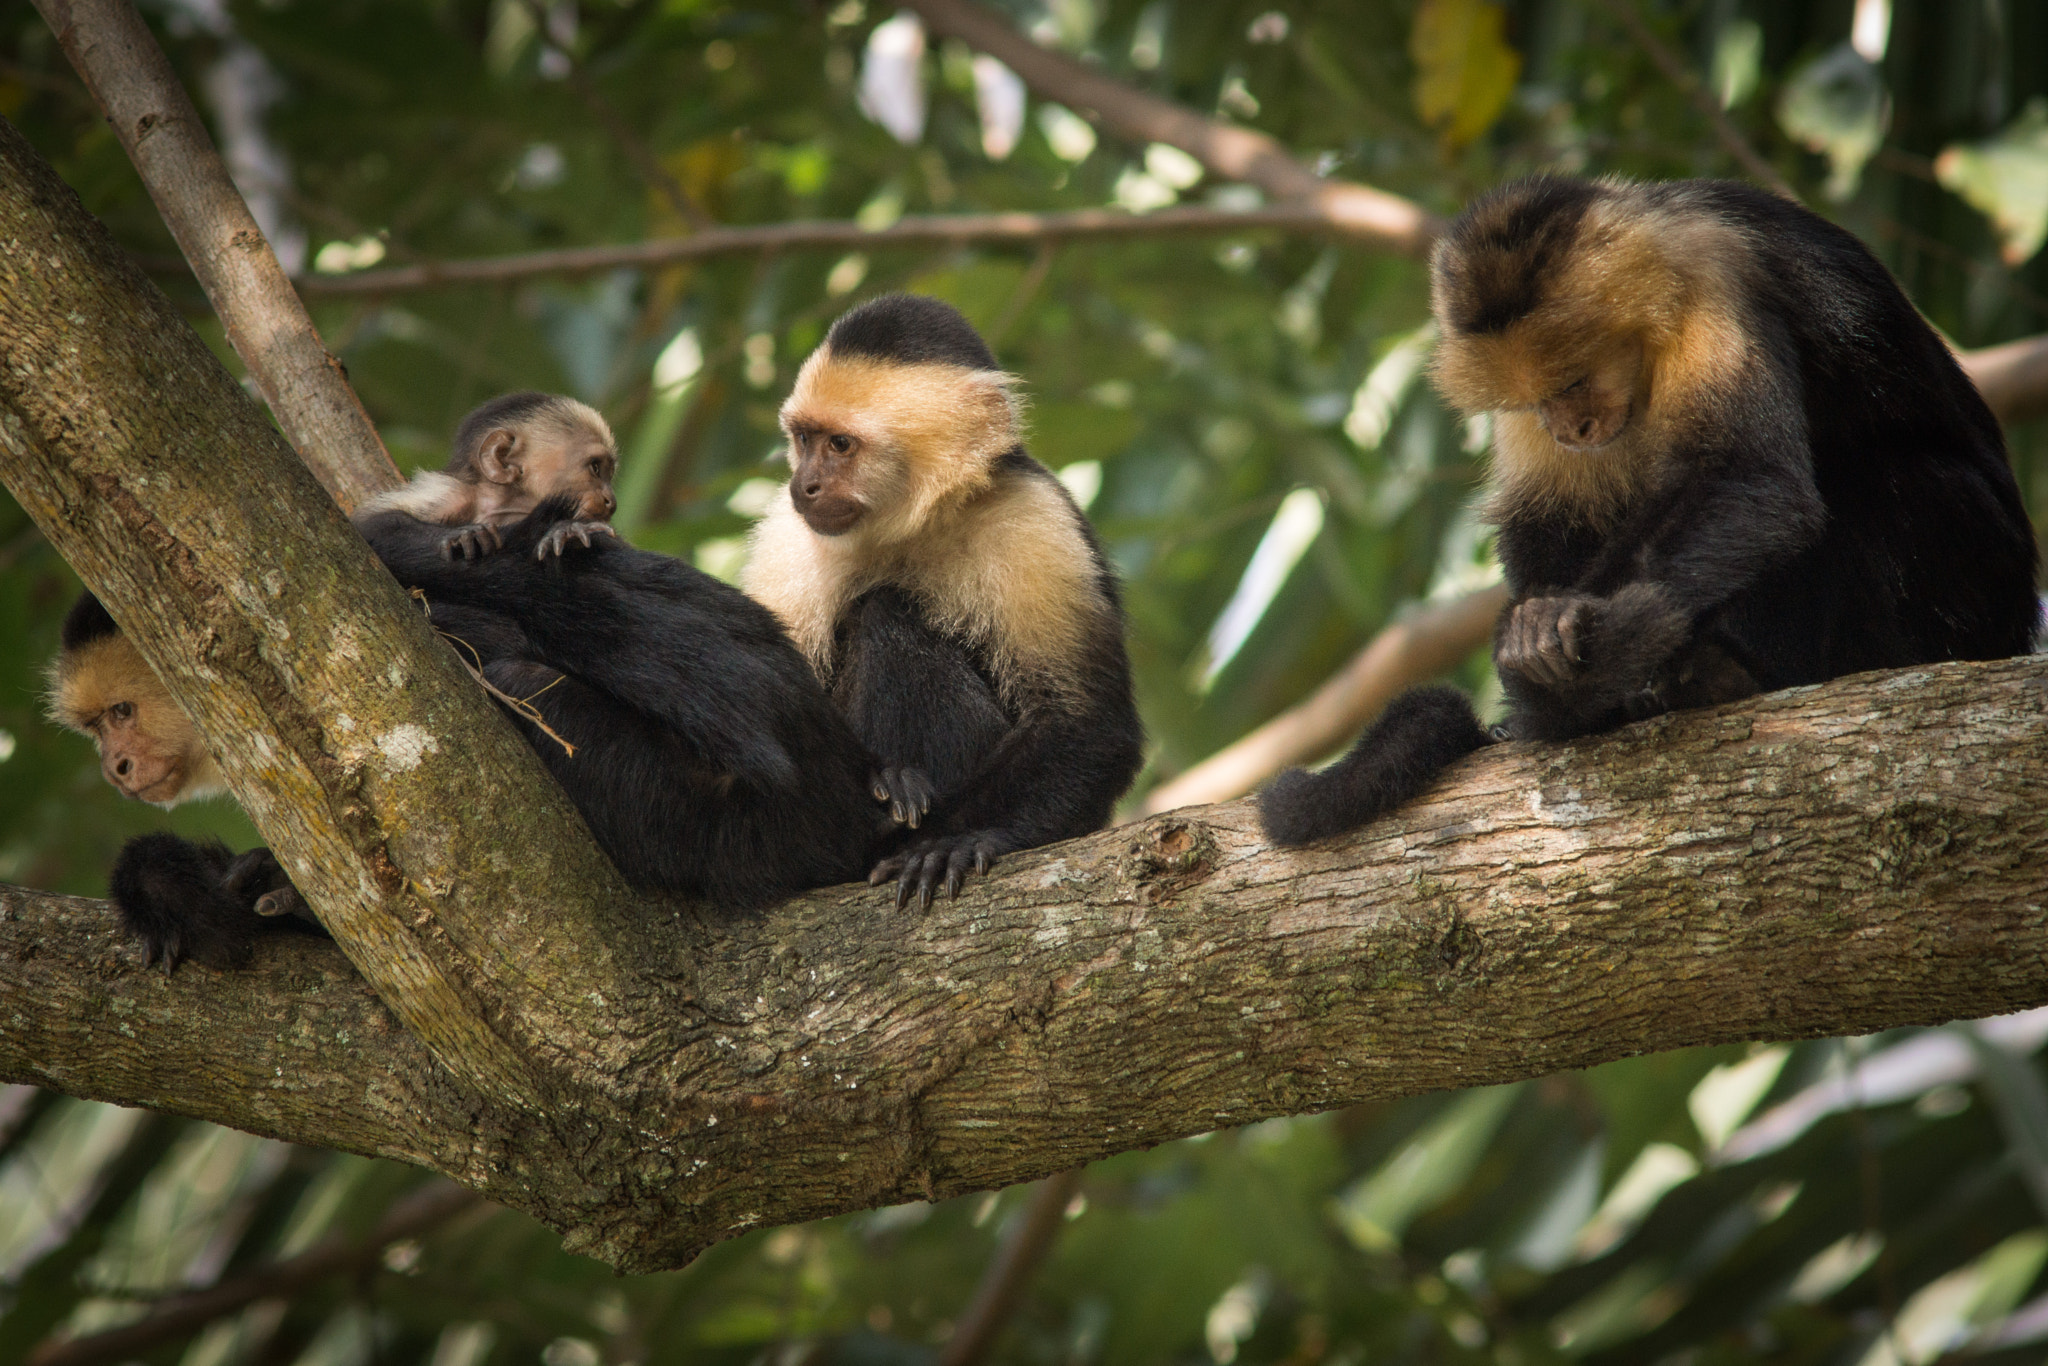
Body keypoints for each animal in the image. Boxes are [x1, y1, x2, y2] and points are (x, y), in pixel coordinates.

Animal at [356, 389, 618, 561]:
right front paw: (462, 535)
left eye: (609, 474)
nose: (612, 502)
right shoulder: (453, 496)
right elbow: (369, 527)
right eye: (595, 468)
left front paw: (566, 530)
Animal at [745, 292, 1146, 909]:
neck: (914, 525)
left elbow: (1088, 725)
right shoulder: (787, 540)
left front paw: (954, 840)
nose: (802, 486)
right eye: (804, 439)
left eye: (841, 445)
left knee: (886, 617)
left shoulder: (1039, 523)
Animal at [1253, 176, 2039, 847]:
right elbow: (1550, 516)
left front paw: (1567, 634)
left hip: (1977, 579)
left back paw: (1730, 676)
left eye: (1573, 381)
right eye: (1537, 400)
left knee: (1893, 481)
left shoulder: (1713, 287)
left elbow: (1749, 479)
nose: (1568, 428)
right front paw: (1542, 648)